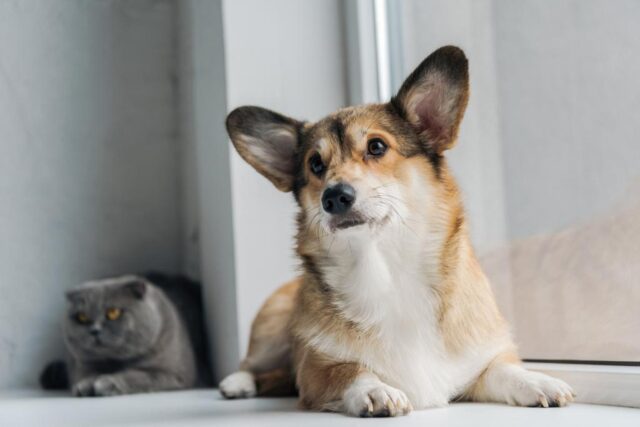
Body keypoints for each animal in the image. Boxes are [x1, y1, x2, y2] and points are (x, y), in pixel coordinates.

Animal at [41, 274, 211, 398]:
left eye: (113, 312)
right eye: (82, 317)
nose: (94, 330)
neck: (115, 362)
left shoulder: (174, 374)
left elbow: (139, 375)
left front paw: (108, 382)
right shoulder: (82, 365)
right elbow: (86, 375)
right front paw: (85, 385)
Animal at [220, 46, 576, 418]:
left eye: (377, 147)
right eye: (315, 164)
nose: (334, 197)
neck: (389, 270)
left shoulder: (482, 362)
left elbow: (505, 369)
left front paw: (538, 381)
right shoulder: (314, 369)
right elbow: (352, 369)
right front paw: (375, 390)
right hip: (271, 330)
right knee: (250, 364)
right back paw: (236, 383)